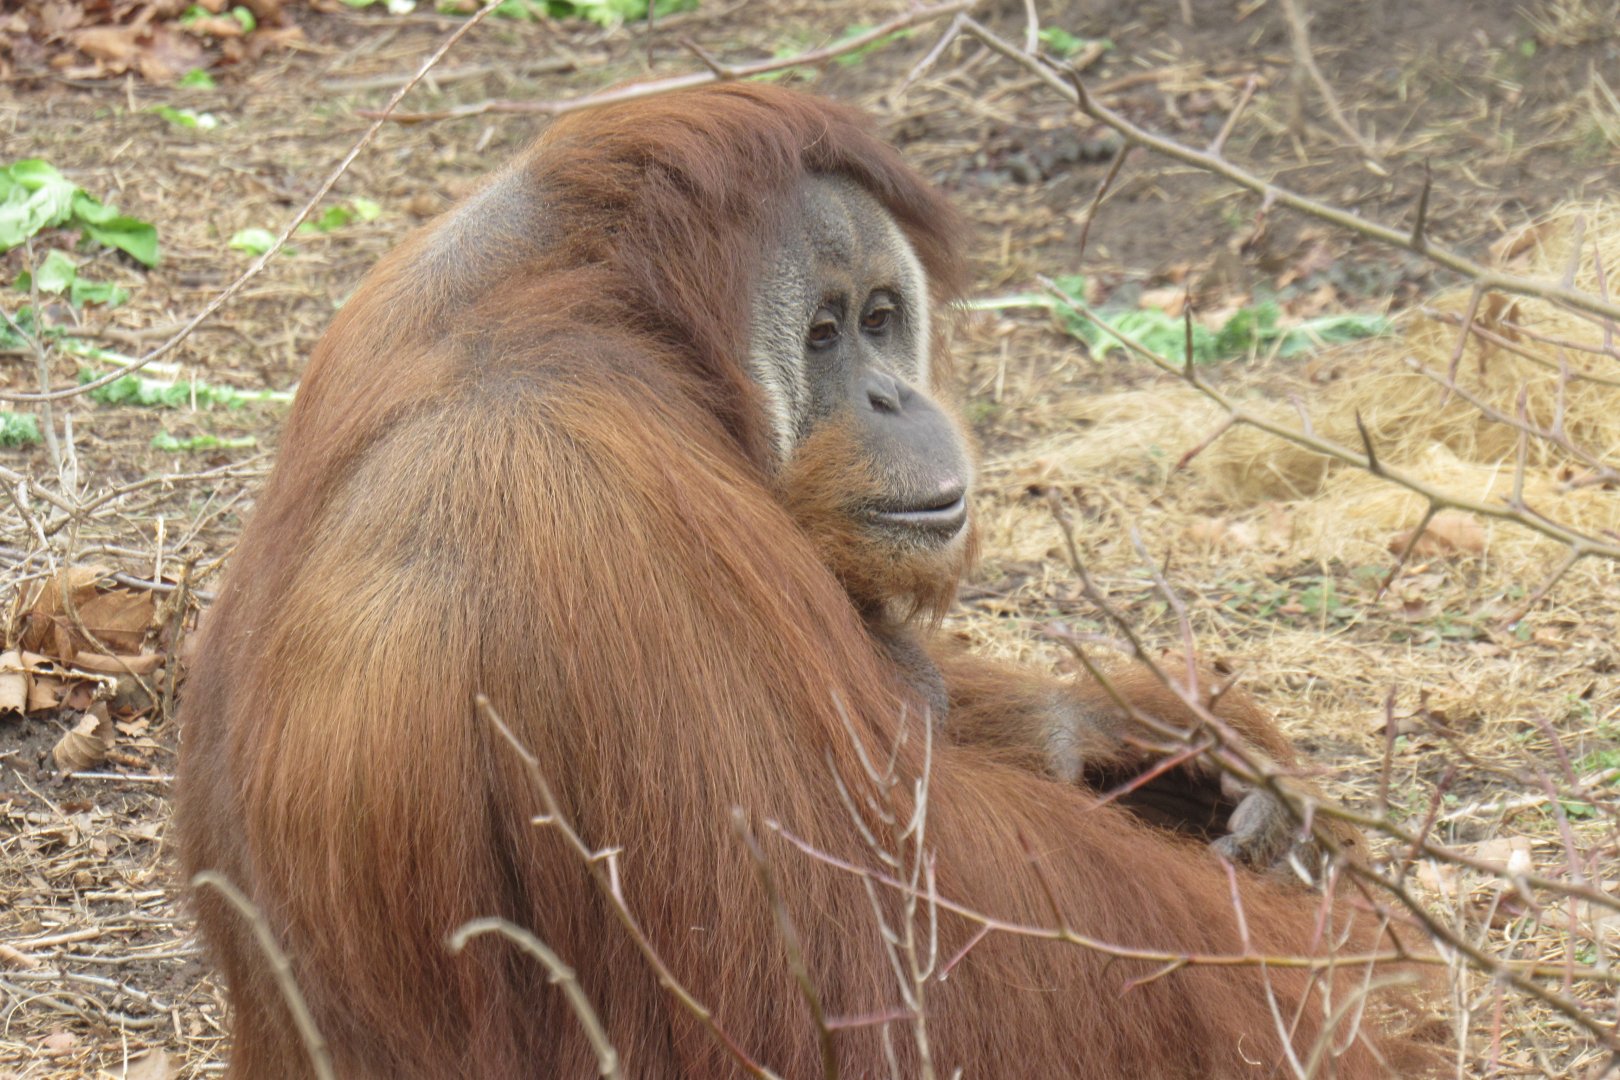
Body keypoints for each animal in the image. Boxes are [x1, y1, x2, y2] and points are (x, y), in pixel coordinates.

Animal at [176, 84, 1433, 1078]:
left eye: (882, 317)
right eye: (824, 333)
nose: (897, 397)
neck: (596, 305)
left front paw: (1163, 734)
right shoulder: (593, 507)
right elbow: (860, 964)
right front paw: (1325, 977)